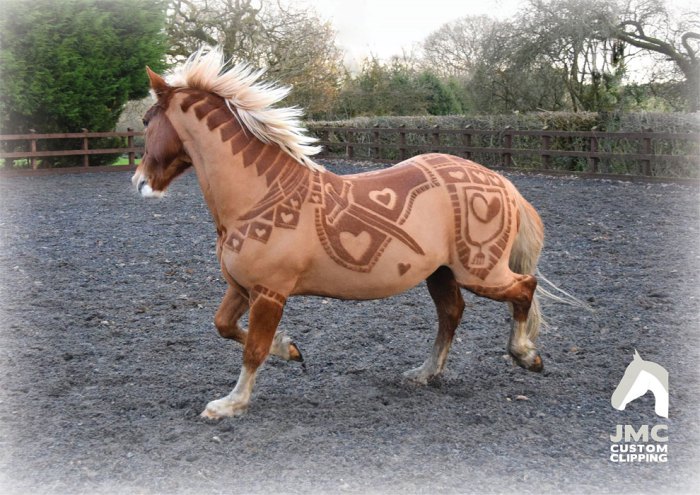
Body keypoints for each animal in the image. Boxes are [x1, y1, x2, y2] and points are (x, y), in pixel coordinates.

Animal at [132, 48, 547, 419]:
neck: (259, 194)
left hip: (480, 272)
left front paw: (230, 404)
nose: (139, 182)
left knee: (524, 287)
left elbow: (253, 349)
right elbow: (225, 326)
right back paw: (426, 372)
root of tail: (501, 182)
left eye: (147, 120)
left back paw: (526, 355)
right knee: (451, 313)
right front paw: (290, 349)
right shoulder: (241, 287)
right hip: (441, 273)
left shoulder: (269, 293)